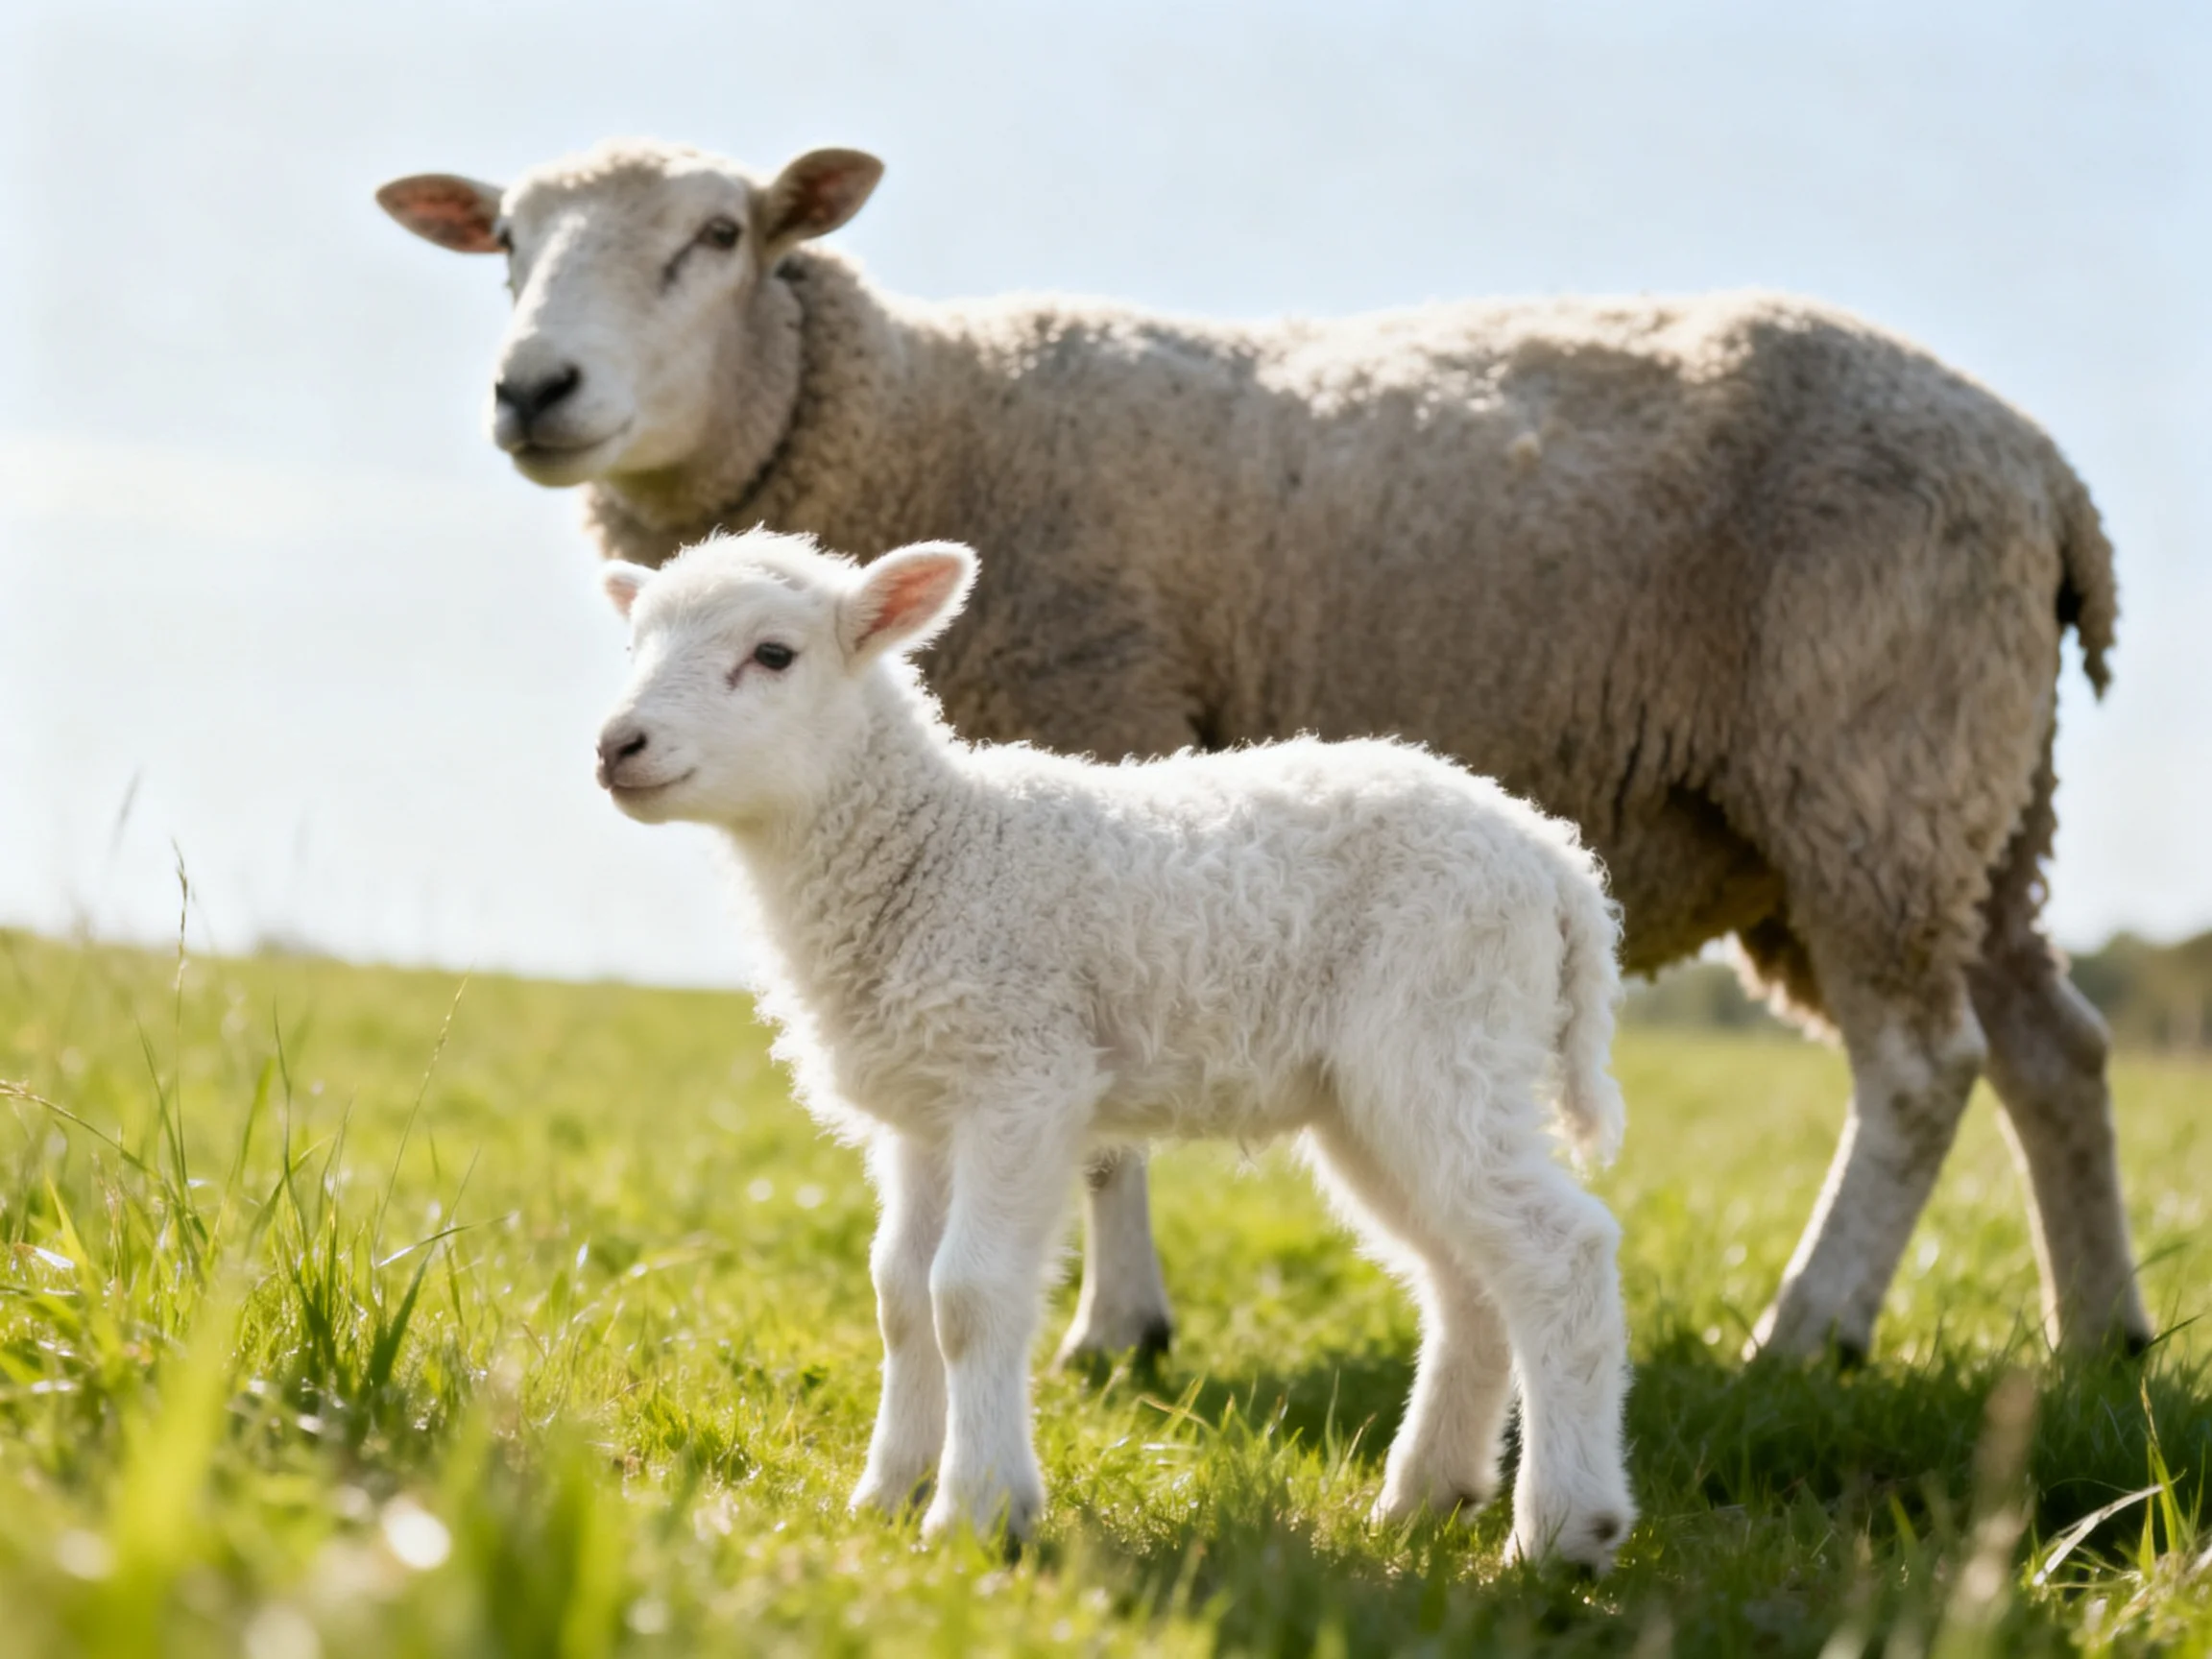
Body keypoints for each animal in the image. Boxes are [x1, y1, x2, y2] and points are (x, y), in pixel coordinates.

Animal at [379, 137, 2147, 1366]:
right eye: (507, 245)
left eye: (719, 235)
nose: (533, 386)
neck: (915, 405)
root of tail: (2044, 468)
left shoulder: (1092, 732)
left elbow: (1092, 1136)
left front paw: (1117, 1333)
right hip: (1973, 802)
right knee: (2052, 1047)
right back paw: (2098, 1336)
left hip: (1875, 768)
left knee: (1918, 1066)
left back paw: (1808, 1330)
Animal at [589, 527, 1638, 1566]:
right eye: (632, 643)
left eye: (774, 654)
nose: (615, 745)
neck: (932, 852)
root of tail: (1553, 860)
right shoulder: (925, 1109)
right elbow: (899, 1295)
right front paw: (886, 1495)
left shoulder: (1022, 1078)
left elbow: (967, 1295)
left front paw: (976, 1512)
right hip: (1373, 1091)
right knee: (1466, 1280)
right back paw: (1425, 1497)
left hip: (1443, 1031)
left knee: (1559, 1250)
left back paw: (1561, 1531)